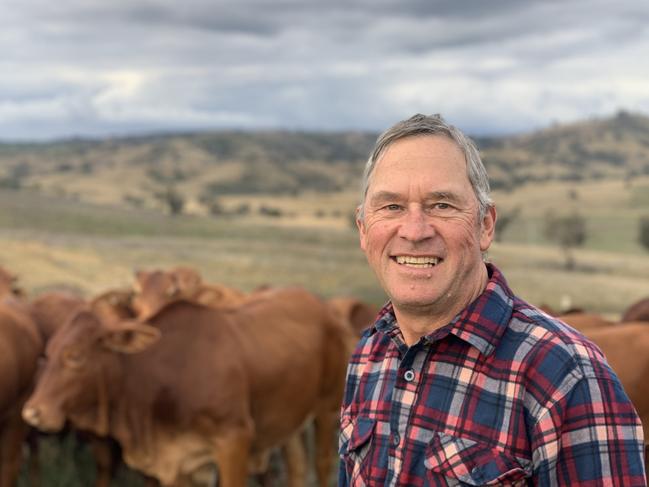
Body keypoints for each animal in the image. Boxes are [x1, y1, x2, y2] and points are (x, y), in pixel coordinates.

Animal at [22, 288, 354, 486]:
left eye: (75, 356)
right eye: (46, 354)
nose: (32, 412)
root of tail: (324, 308)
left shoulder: (234, 441)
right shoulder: (179, 462)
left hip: (327, 411)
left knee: (323, 464)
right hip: (289, 423)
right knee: (297, 469)